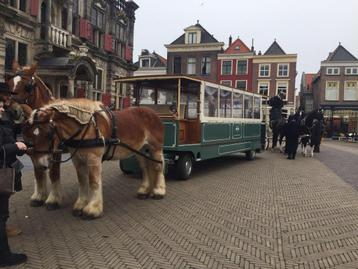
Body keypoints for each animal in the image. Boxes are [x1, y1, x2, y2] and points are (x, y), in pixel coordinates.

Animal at [7, 61, 62, 208]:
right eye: (9, 84)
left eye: (28, 86)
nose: (13, 111)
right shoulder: (33, 150)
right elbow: (38, 173)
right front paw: (38, 197)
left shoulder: (56, 151)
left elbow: (54, 173)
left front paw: (53, 200)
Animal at [23, 98, 166, 218]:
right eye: (29, 136)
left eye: (48, 134)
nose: (40, 165)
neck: (86, 127)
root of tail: (151, 112)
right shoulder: (78, 159)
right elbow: (82, 181)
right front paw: (80, 204)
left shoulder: (94, 158)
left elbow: (93, 181)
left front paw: (93, 208)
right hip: (139, 150)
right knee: (145, 167)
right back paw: (144, 190)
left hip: (156, 147)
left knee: (158, 166)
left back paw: (159, 191)